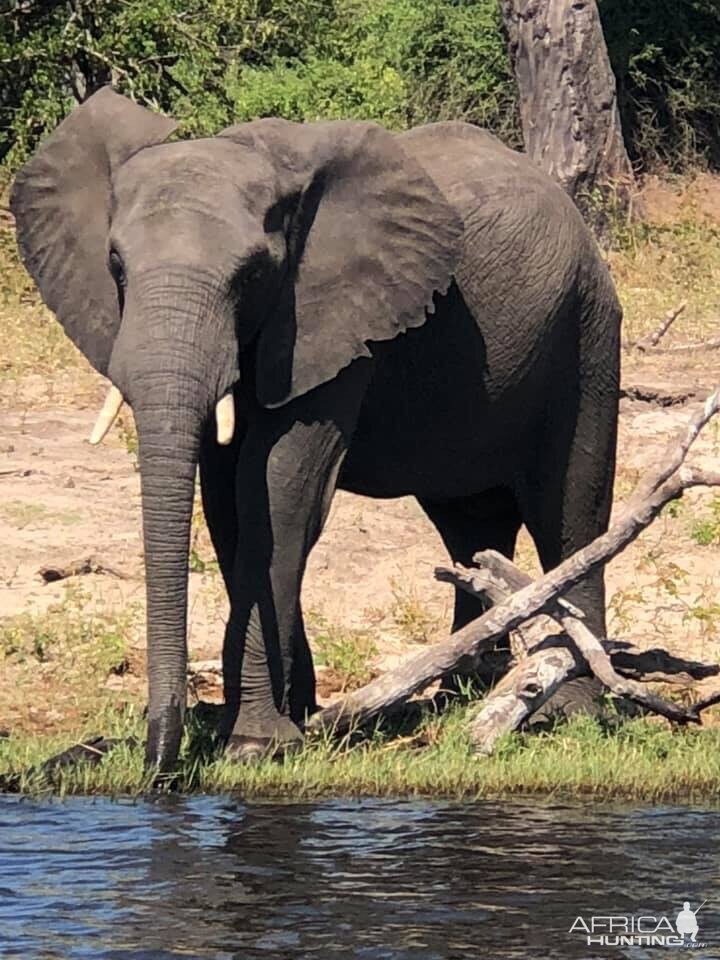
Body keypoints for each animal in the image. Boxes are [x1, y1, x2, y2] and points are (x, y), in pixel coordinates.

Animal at [9, 86, 620, 768]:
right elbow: (228, 502)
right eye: (115, 264)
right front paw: (288, 717)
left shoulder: (335, 319)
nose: (157, 760)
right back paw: (460, 690)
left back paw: (567, 706)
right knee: (469, 527)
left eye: (252, 274)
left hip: (586, 328)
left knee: (571, 511)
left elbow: (278, 489)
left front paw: (254, 743)